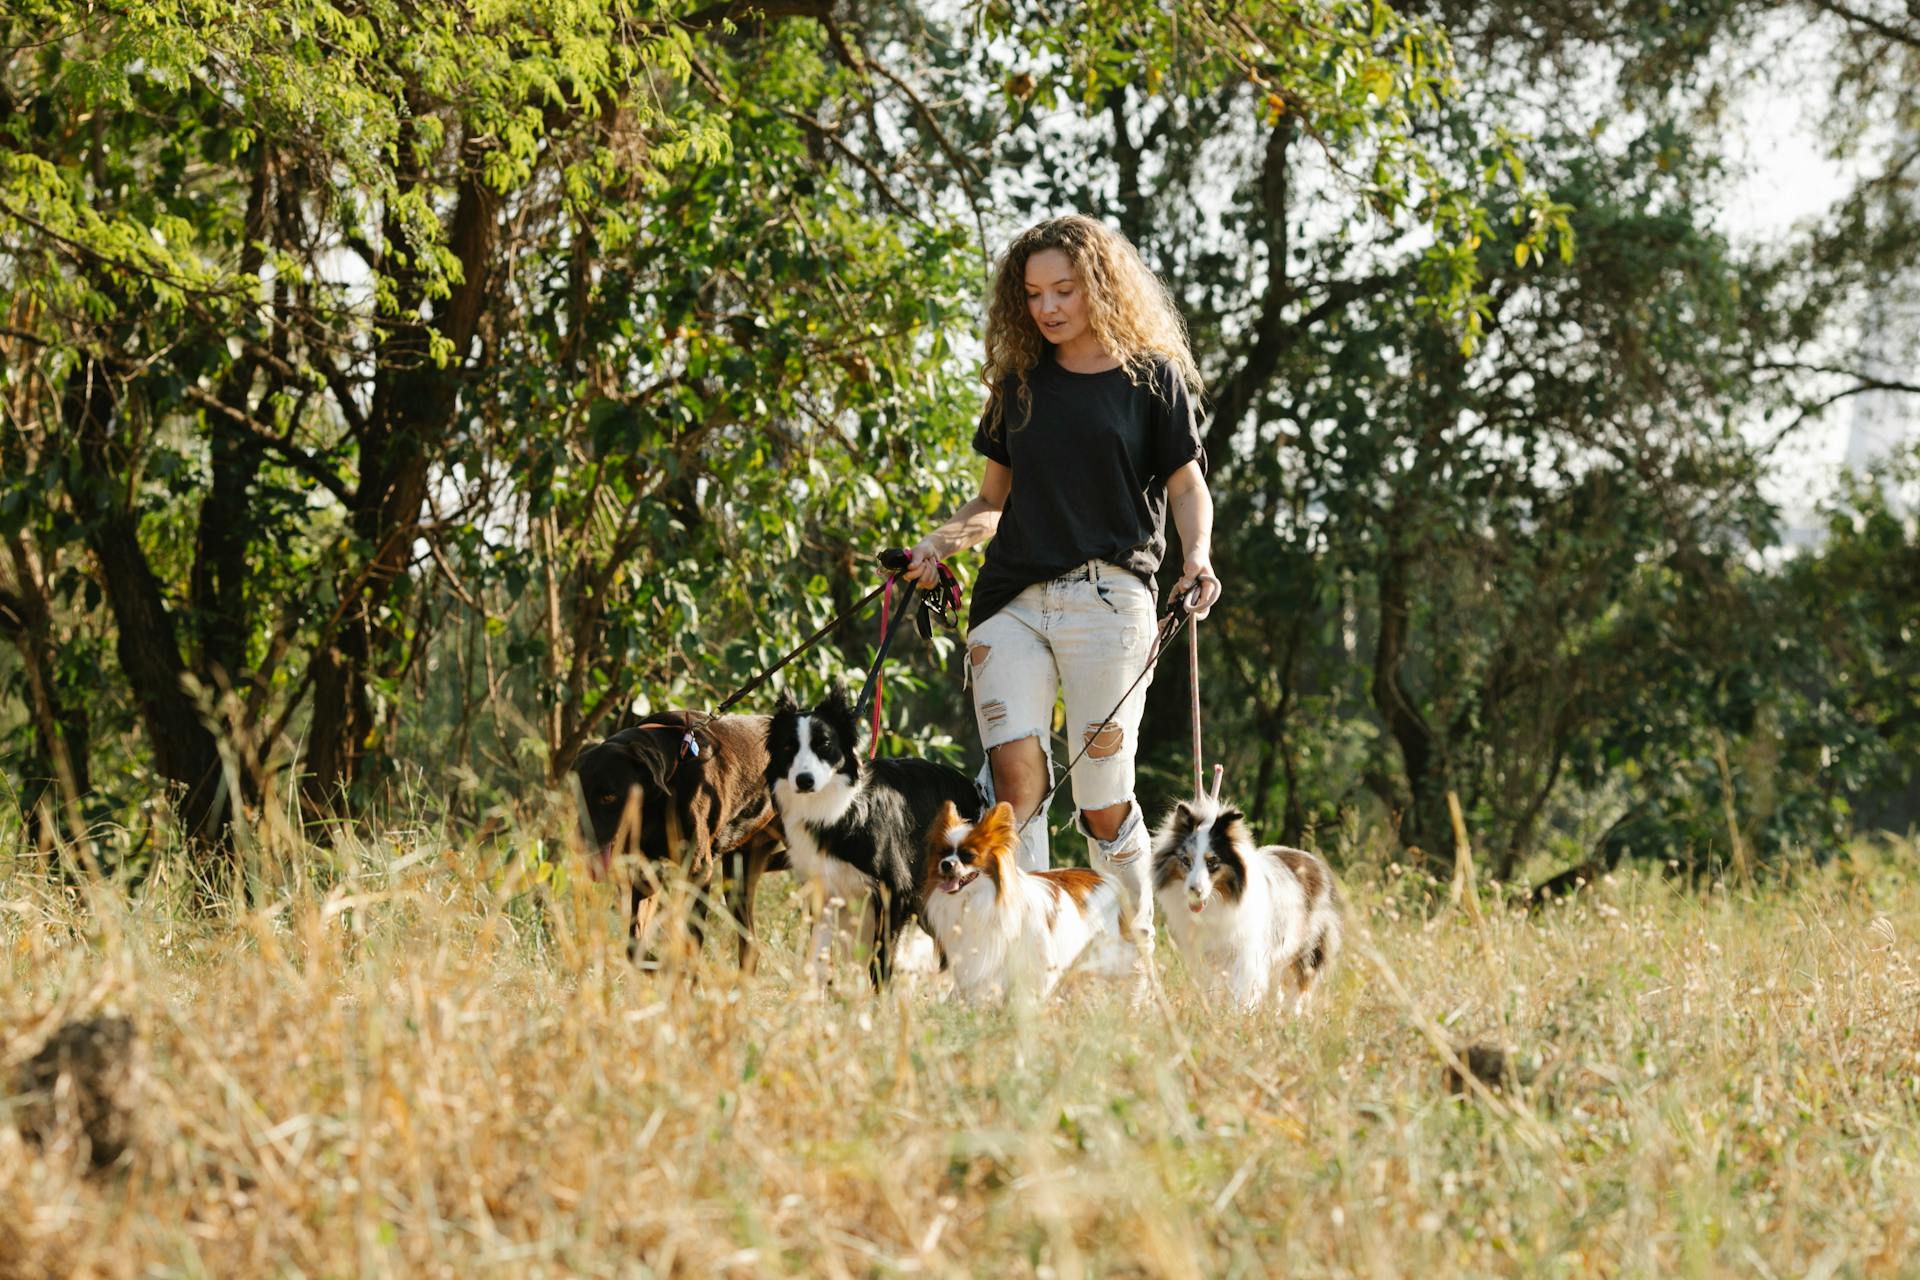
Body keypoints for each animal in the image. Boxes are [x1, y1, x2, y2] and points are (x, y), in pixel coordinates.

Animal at [764, 687, 983, 990]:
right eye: (788, 747)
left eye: (824, 745)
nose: (804, 781)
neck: (836, 810)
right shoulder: (825, 892)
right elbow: (817, 958)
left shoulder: (894, 891)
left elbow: (882, 959)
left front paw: (879, 1001)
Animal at [1144, 802, 1344, 1013]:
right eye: (1185, 860)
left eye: (1212, 862)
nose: (1194, 891)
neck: (1219, 900)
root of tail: (1314, 861)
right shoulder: (1208, 954)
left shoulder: (1245, 953)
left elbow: (1241, 989)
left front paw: (1237, 1014)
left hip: (1307, 946)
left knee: (1298, 986)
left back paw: (1293, 1015)